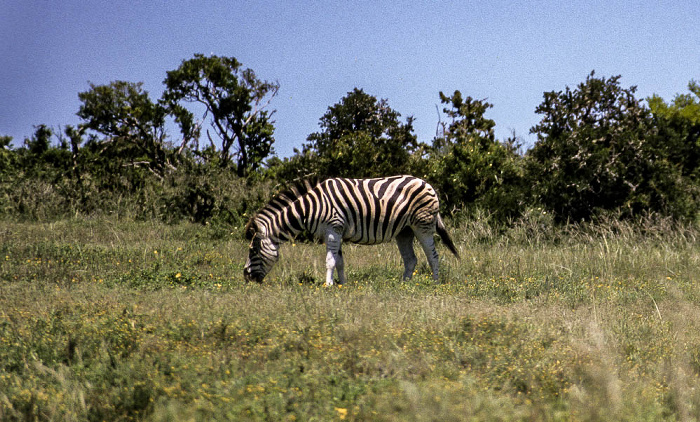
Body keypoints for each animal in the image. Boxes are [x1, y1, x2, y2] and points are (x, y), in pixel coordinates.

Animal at [245, 173, 460, 286]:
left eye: (253, 251)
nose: (246, 278)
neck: (311, 207)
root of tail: (427, 184)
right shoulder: (335, 232)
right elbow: (339, 261)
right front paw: (342, 284)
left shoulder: (333, 228)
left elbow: (330, 261)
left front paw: (328, 285)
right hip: (404, 231)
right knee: (411, 259)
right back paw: (404, 285)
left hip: (423, 225)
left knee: (432, 255)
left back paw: (435, 283)